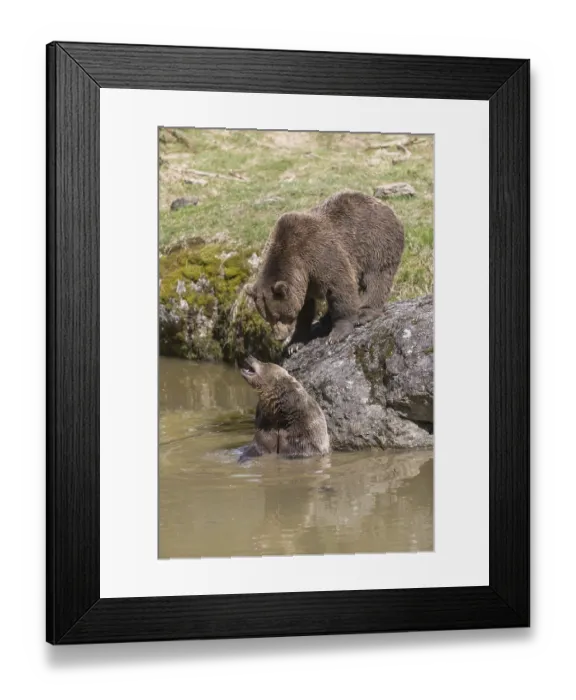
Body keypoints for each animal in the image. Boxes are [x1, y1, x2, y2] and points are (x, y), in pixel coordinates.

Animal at [245, 190, 405, 353]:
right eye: (267, 317)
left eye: (278, 316)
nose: (279, 337)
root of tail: (386, 206)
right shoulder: (305, 283)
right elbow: (305, 310)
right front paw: (295, 344)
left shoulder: (320, 255)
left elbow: (340, 287)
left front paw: (337, 334)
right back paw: (325, 319)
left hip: (376, 244)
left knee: (376, 279)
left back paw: (364, 313)